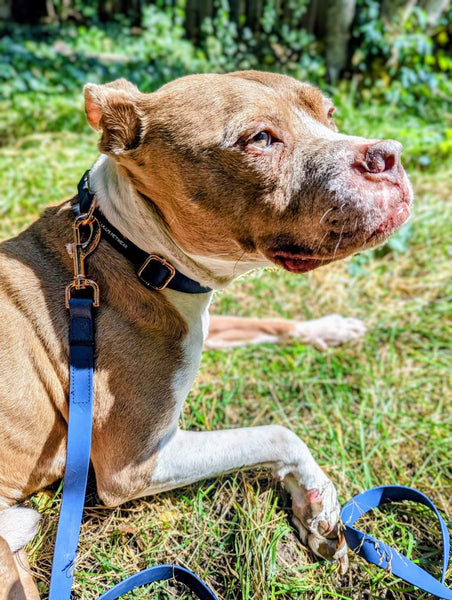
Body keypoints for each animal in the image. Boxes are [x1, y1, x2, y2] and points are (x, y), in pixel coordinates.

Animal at [0, 70, 412, 596]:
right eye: (260, 139)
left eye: (330, 114)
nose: (389, 155)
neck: (131, 247)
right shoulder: (135, 465)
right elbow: (277, 433)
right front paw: (318, 499)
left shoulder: (199, 327)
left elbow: (270, 323)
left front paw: (331, 327)